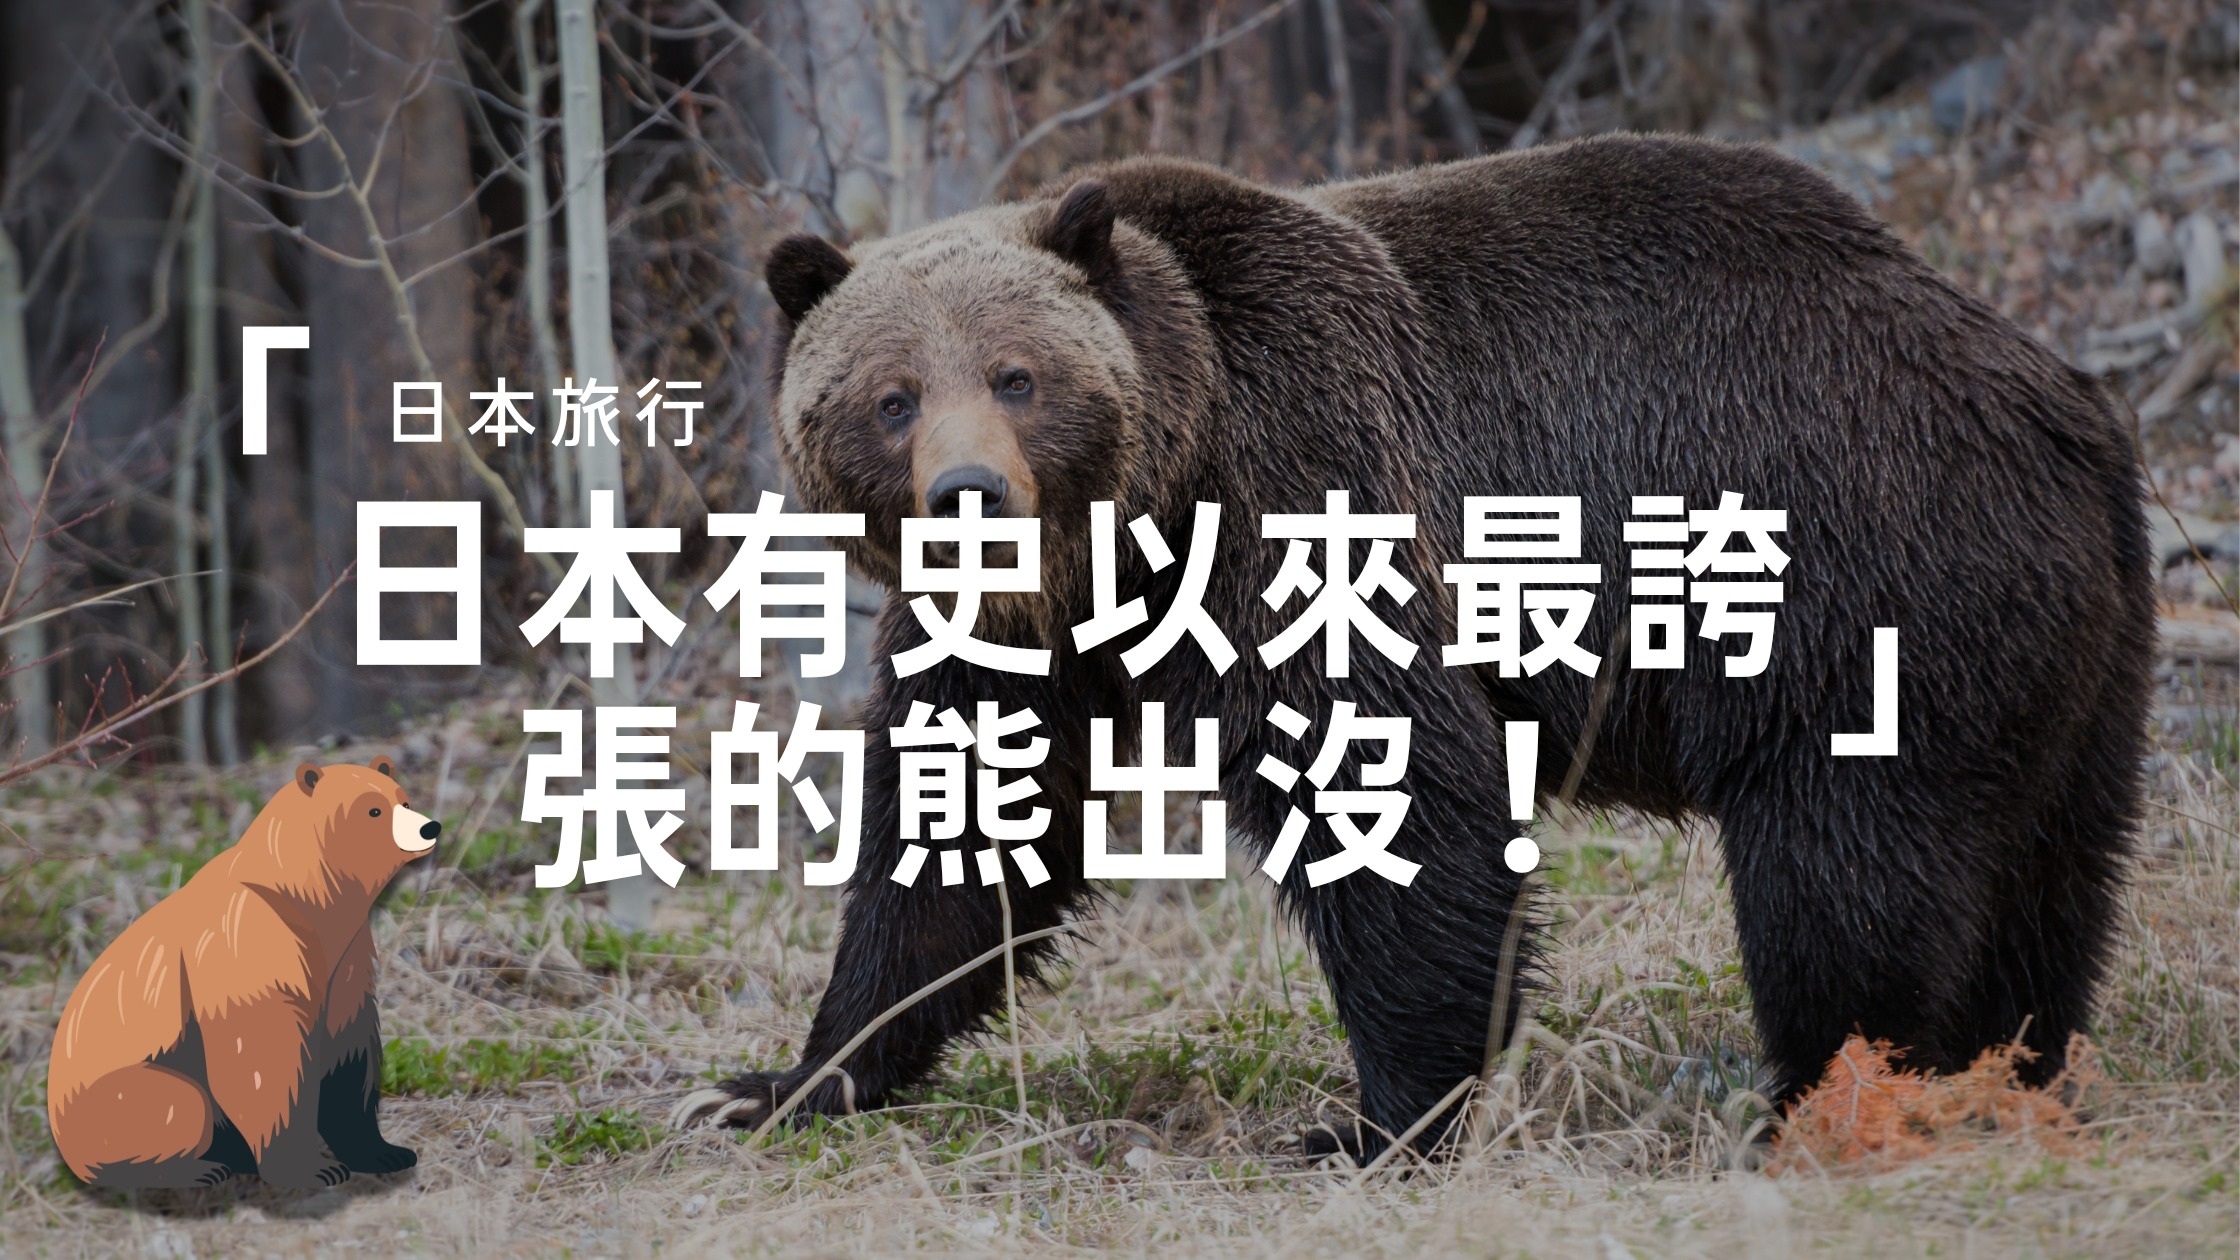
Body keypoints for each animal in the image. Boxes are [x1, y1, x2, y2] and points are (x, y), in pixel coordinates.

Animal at [47, 756, 440, 1189]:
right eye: (373, 810)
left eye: (403, 800)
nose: (430, 827)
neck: (306, 898)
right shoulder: (246, 943)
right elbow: (260, 1059)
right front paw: (312, 1168)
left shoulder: (345, 955)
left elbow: (346, 1048)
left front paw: (385, 1153)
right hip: (109, 1101)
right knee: (183, 1103)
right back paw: (196, 1168)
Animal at [674, 135, 2155, 1152]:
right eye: (888, 396)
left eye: (1018, 376)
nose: (968, 492)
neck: (1141, 522)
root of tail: (2060, 400)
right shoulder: (1026, 634)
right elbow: (962, 831)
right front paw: (781, 1081)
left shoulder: (1305, 480)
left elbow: (1390, 788)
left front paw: (1371, 1119)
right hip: (2066, 652)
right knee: (2045, 878)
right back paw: (2014, 1068)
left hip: (1860, 583)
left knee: (1839, 879)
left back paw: (1816, 1097)